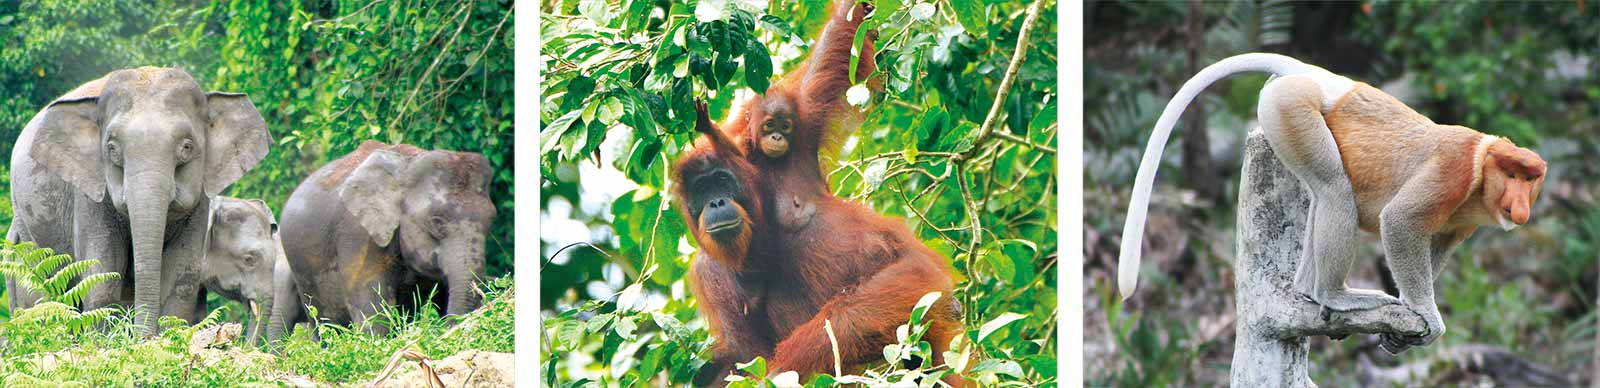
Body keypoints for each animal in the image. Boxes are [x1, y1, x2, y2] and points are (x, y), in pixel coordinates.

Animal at [7, 67, 272, 333]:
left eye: (187, 147)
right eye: (112, 149)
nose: (144, 336)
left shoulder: (201, 200)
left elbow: (181, 276)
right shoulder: (87, 193)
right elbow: (103, 272)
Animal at [1120, 51, 1542, 351]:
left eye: (1530, 178)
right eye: (1513, 175)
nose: (1521, 205)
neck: (1482, 167)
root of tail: (1321, 77)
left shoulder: (1462, 222)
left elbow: (1438, 243)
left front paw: (1398, 334)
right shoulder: (1453, 169)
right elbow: (1401, 221)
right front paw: (1425, 313)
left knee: (1321, 197)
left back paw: (1310, 290)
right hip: (1290, 110)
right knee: (1335, 190)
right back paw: (1335, 296)